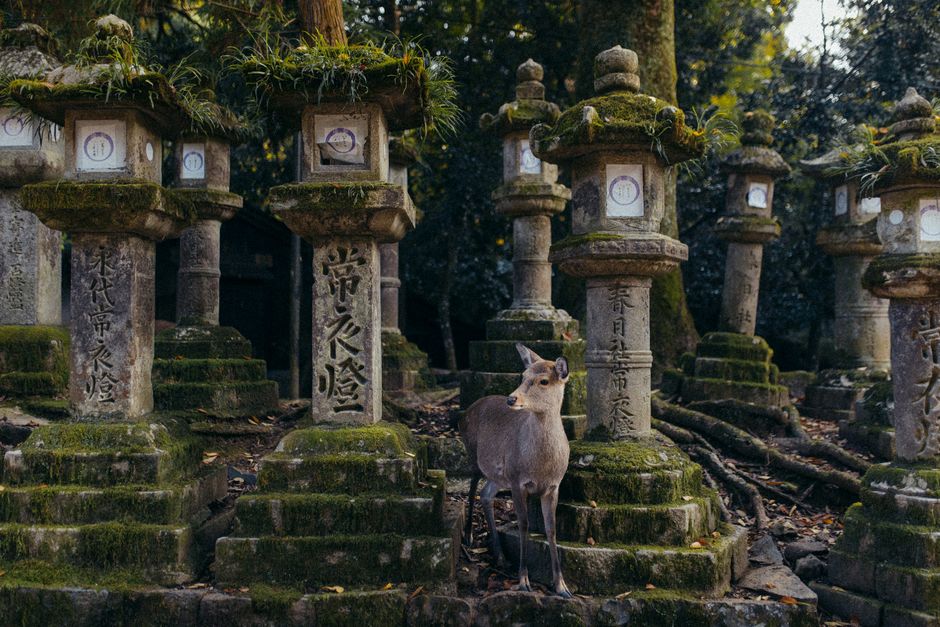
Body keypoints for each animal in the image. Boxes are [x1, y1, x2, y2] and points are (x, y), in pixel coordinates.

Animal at [458, 343, 572, 598]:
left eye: (543, 381)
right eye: (523, 375)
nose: (511, 399)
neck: (541, 466)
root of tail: (466, 412)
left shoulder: (553, 486)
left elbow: (551, 530)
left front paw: (562, 586)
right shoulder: (518, 481)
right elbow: (524, 525)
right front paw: (524, 581)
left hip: (500, 475)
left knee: (486, 494)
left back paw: (500, 556)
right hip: (474, 455)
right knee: (471, 489)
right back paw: (468, 535)